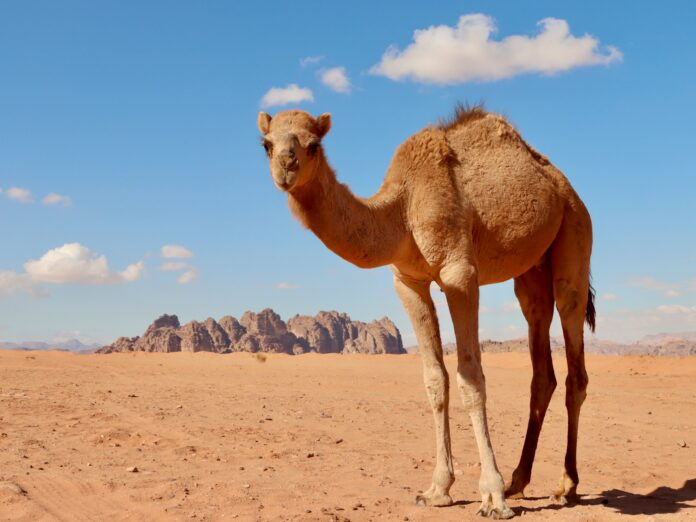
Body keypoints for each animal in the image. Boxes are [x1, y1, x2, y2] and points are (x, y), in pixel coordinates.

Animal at [257, 105, 595, 519]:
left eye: (313, 145)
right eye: (266, 143)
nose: (285, 167)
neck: (402, 208)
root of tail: (565, 185)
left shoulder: (459, 273)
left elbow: (471, 378)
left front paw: (491, 495)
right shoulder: (408, 281)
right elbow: (435, 379)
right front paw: (437, 489)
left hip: (574, 229)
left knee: (572, 341)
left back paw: (565, 485)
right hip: (531, 270)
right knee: (540, 353)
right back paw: (519, 481)